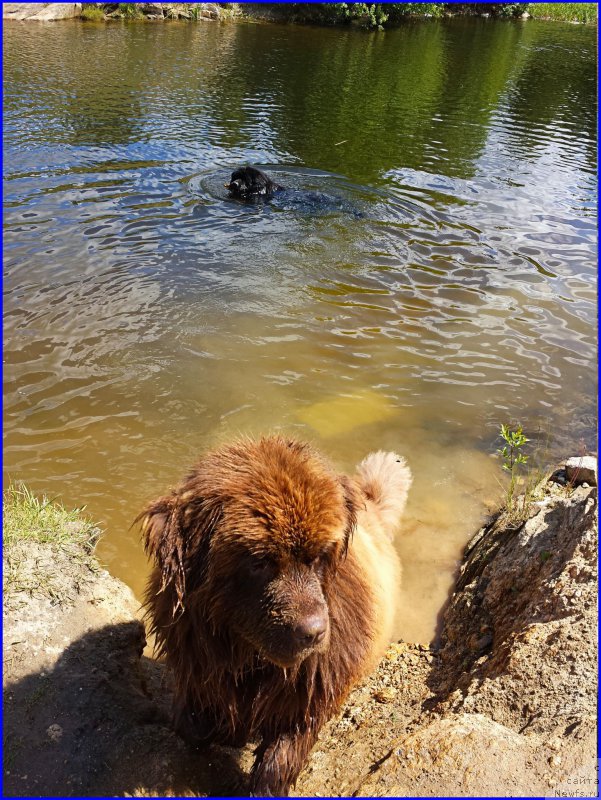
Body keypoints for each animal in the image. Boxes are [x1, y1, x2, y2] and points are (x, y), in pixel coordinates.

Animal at [138, 434, 410, 796]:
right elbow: (192, 724)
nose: (314, 632)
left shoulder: (308, 692)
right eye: (259, 563)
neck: (249, 656)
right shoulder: (196, 658)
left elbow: (279, 760)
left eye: (318, 557)